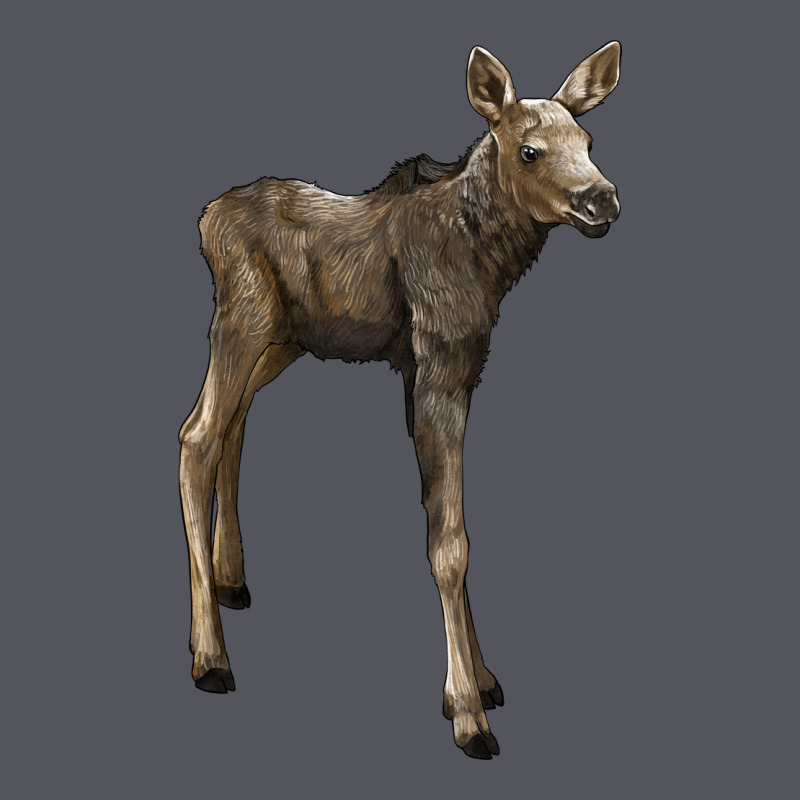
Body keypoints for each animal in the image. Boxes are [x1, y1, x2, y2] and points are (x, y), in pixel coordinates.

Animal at [179, 42, 621, 759]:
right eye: (529, 150)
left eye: (587, 140)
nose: (600, 197)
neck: (487, 263)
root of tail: (206, 218)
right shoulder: (438, 366)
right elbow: (450, 541)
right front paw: (469, 713)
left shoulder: (450, 372)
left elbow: (450, 522)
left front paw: (480, 681)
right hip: (241, 320)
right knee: (196, 434)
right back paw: (210, 657)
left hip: (283, 340)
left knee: (233, 424)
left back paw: (230, 580)